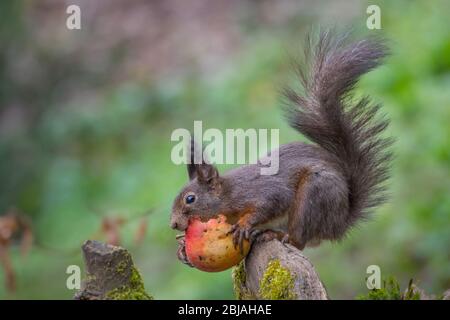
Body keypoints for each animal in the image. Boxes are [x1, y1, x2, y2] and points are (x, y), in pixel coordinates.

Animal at [171, 31, 392, 264]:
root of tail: (339, 224)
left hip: (312, 198)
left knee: (298, 240)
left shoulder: (260, 192)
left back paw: (273, 234)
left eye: (190, 199)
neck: (228, 196)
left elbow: (271, 202)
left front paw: (244, 224)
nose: (173, 224)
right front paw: (182, 248)